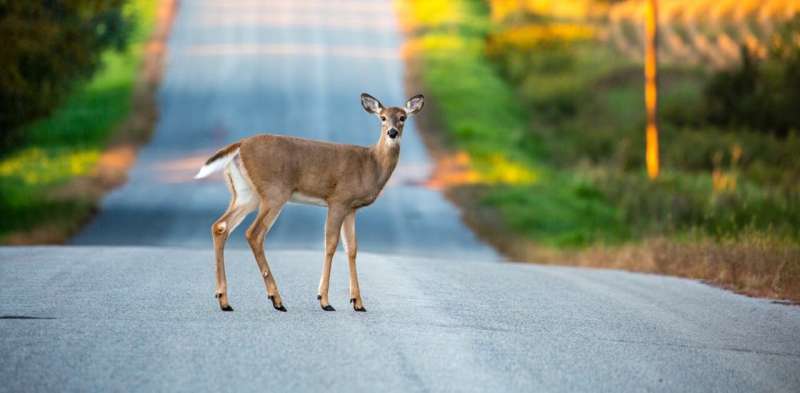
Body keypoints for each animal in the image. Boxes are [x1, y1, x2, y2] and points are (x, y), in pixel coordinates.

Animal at [195, 92, 424, 312]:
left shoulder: (351, 208)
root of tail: (239, 145)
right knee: (254, 233)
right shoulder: (338, 199)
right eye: (382, 117)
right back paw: (276, 299)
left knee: (220, 226)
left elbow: (352, 249)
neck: (371, 164)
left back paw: (224, 300)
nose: (392, 133)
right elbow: (330, 244)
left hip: (245, 193)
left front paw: (357, 303)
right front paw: (324, 300)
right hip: (274, 192)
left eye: (402, 117)